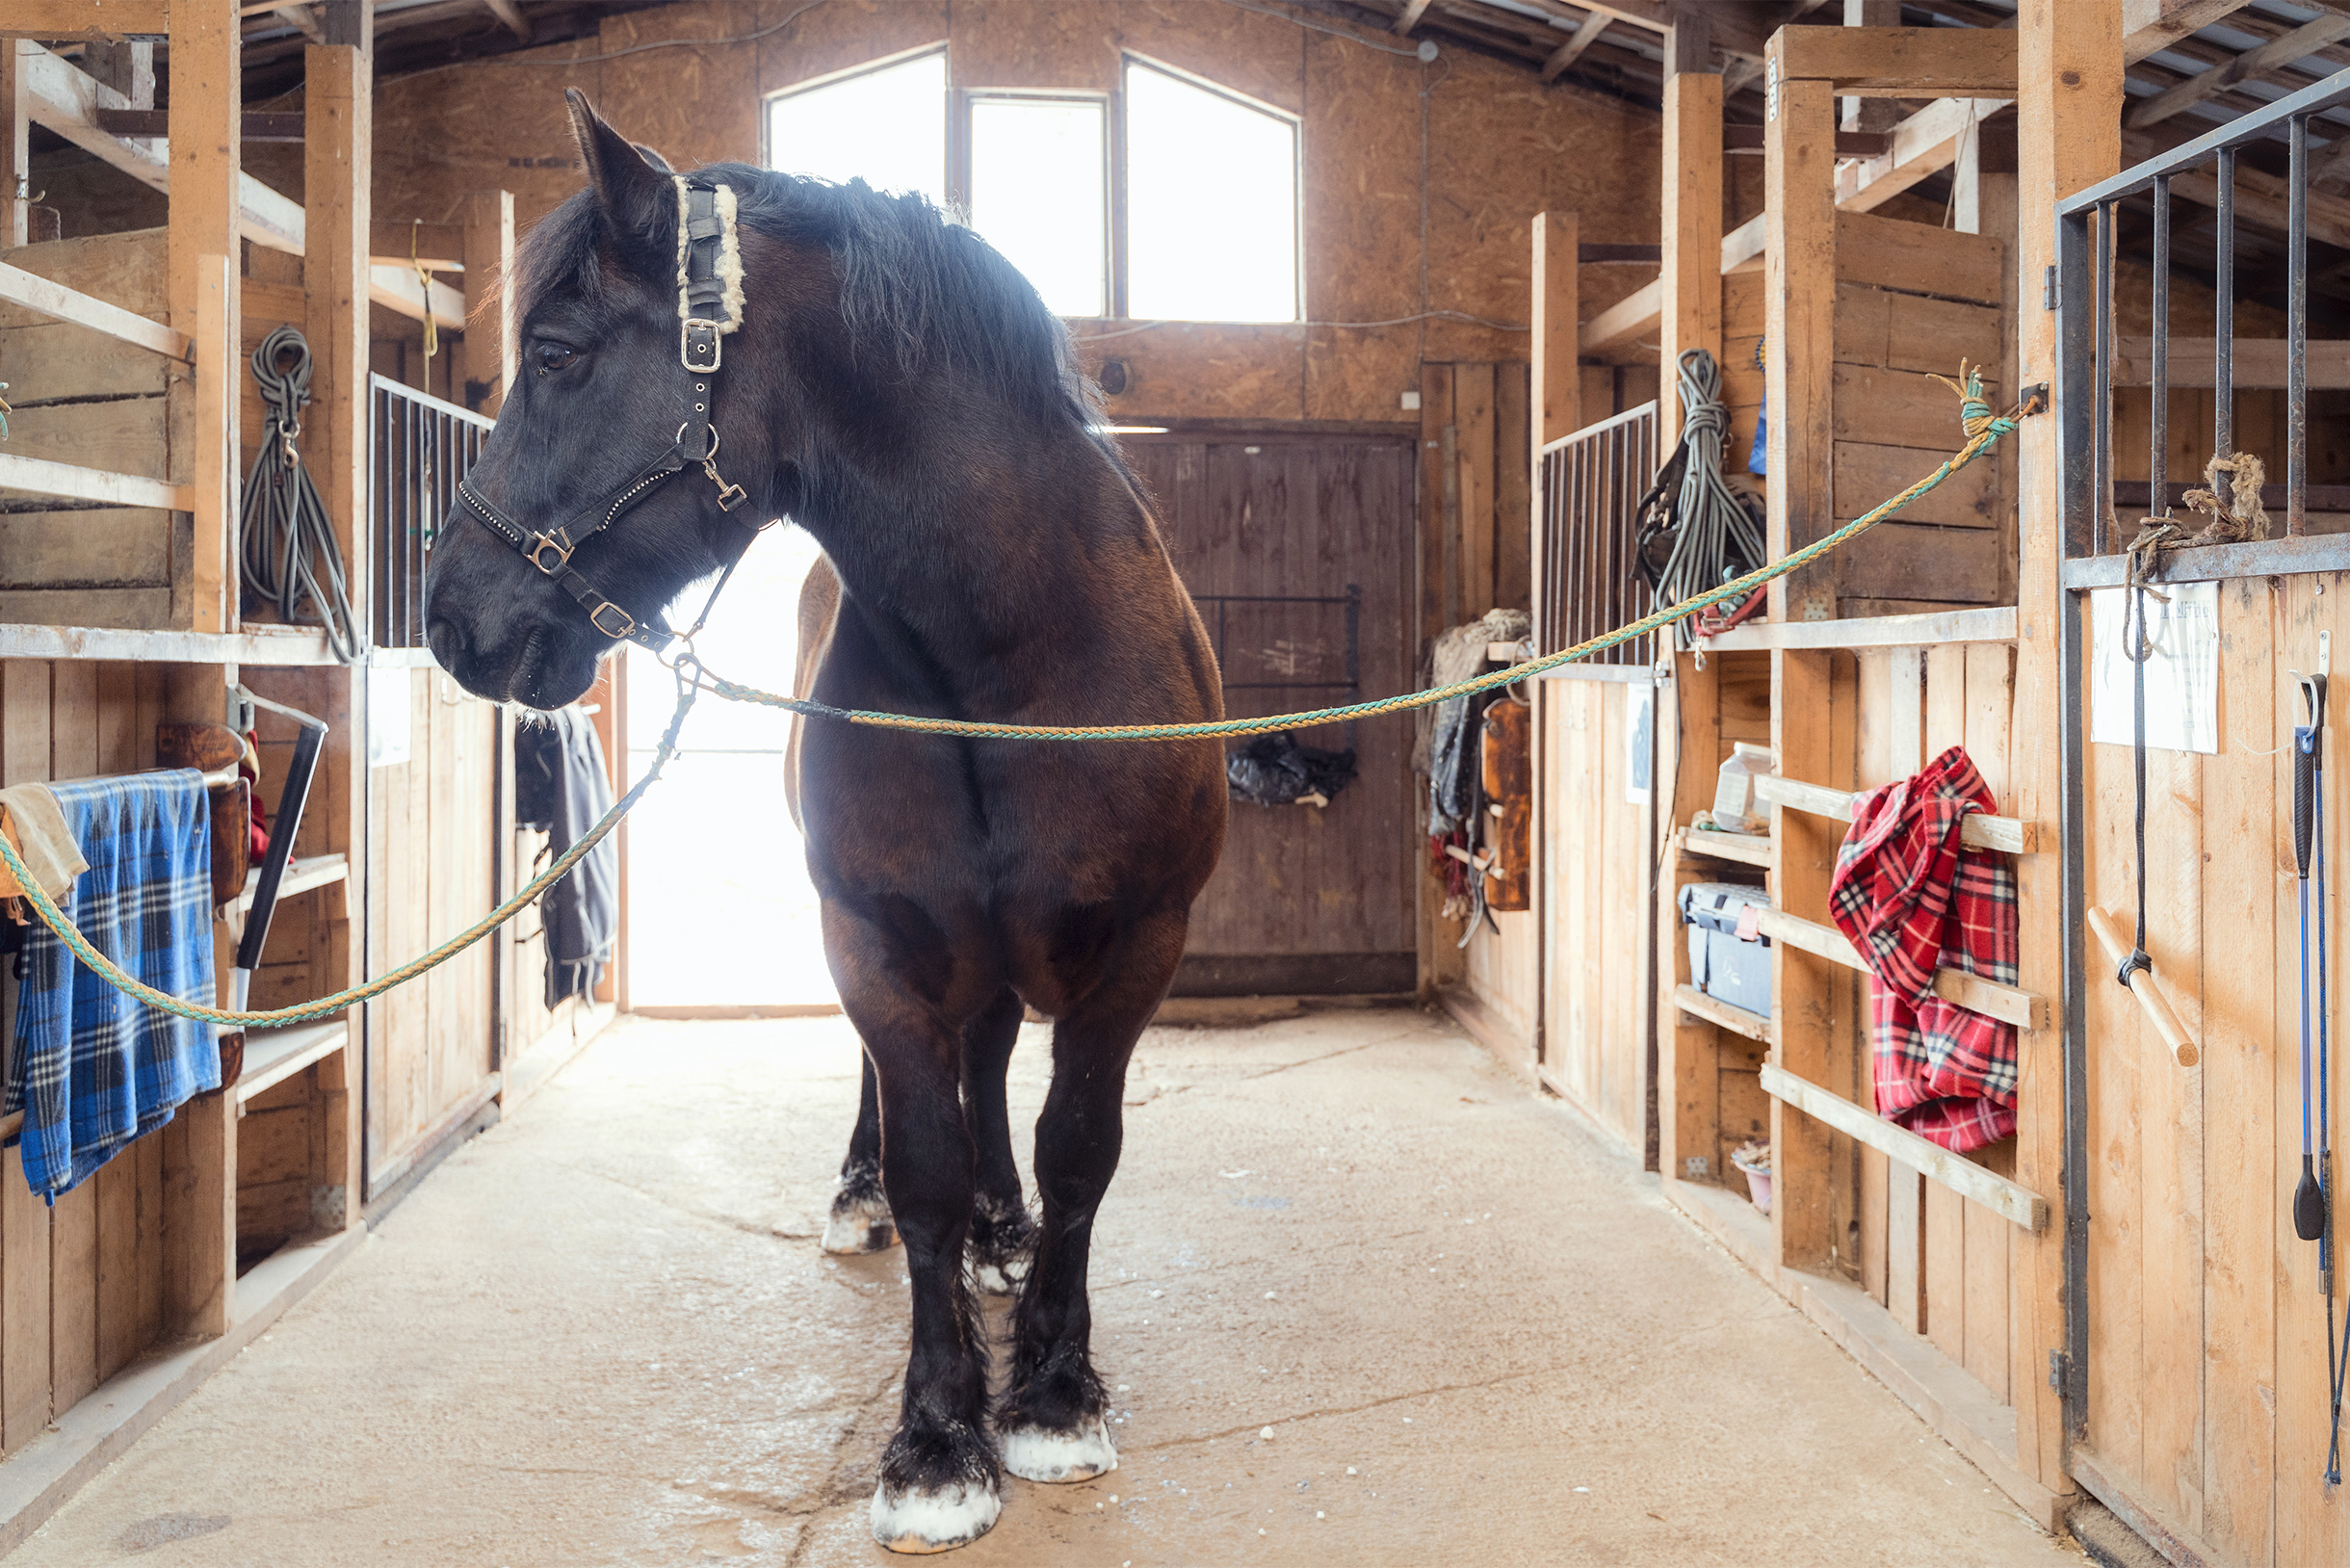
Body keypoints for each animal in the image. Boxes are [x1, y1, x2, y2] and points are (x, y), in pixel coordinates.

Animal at [425, 91, 1231, 1551]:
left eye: (559, 353)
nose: (450, 615)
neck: (1010, 666)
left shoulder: (1139, 947)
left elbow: (1078, 1147)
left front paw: (1052, 1389)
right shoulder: (876, 941)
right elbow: (923, 1165)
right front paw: (937, 1437)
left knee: (994, 1070)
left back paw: (1003, 1229)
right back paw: (883, 1205)